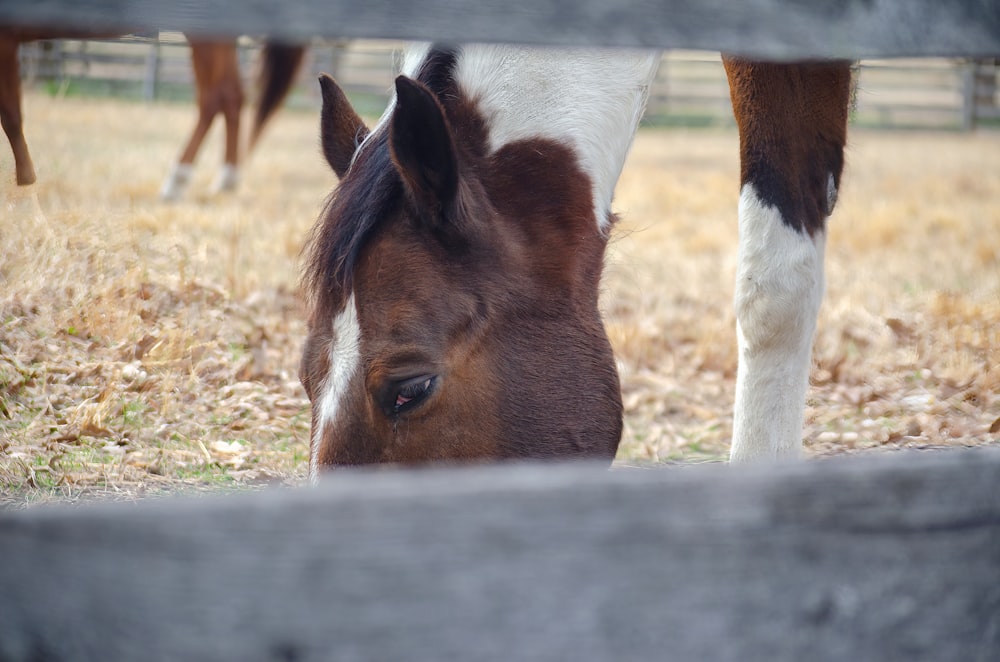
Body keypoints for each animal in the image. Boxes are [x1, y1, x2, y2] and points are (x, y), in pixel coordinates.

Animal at [0, 28, 304, 198]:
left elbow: (11, 113)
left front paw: (25, 180)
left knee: (215, 96)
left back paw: (178, 179)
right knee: (230, 95)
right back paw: (225, 179)